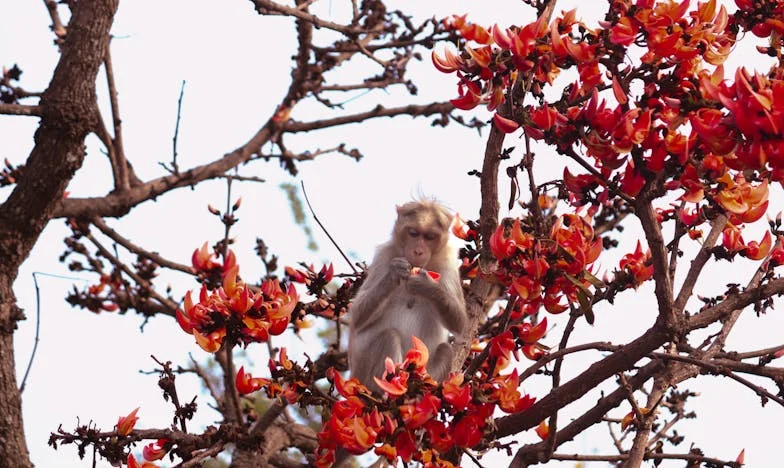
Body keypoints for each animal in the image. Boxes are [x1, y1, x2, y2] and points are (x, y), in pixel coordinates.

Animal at [348, 199, 466, 394]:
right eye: (413, 233)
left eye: (429, 237)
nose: (418, 251)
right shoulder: (384, 256)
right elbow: (357, 316)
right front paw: (393, 274)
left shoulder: (448, 263)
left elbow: (460, 322)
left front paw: (427, 285)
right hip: (363, 375)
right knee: (389, 337)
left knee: (445, 351)